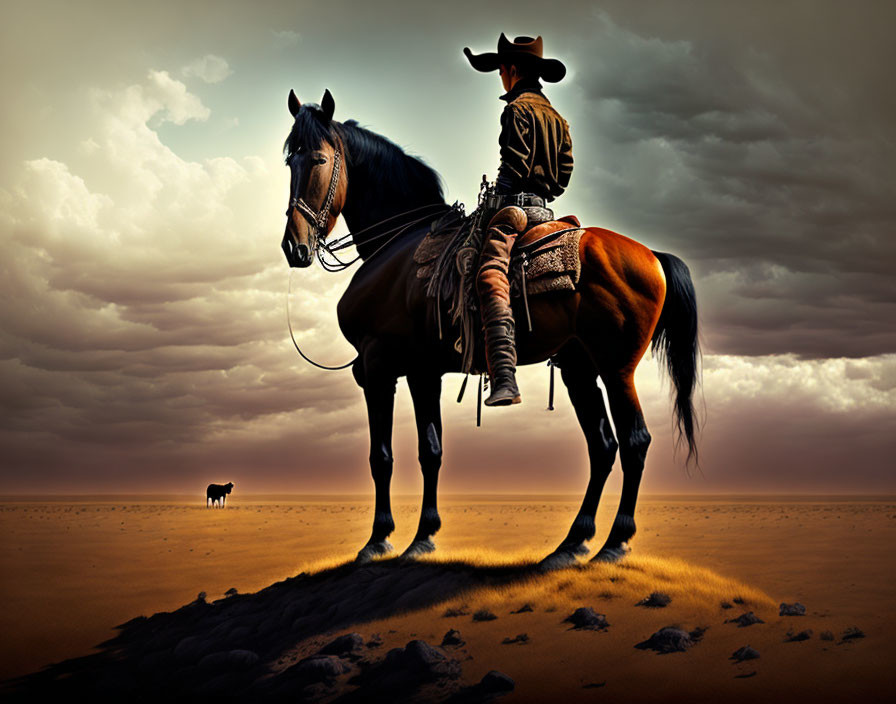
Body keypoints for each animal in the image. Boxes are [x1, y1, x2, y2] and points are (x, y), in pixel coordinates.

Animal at [282, 88, 700, 568]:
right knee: (603, 447)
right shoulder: (423, 371)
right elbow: (431, 450)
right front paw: (422, 538)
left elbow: (381, 456)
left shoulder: (378, 364)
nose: (294, 246)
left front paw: (378, 540)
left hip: (616, 369)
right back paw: (571, 544)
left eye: (318, 159)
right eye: (289, 161)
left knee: (634, 443)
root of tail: (653, 255)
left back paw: (615, 543)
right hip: (579, 367)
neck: (396, 247)